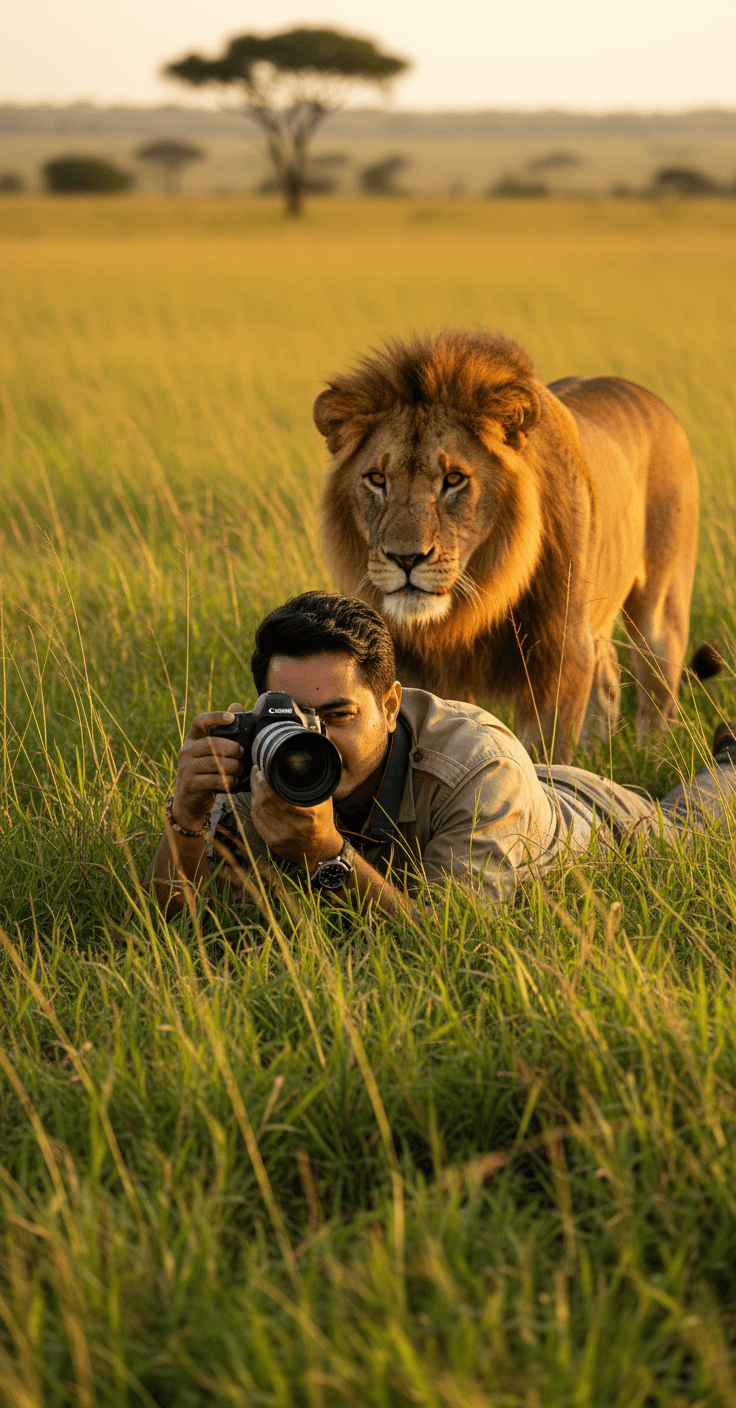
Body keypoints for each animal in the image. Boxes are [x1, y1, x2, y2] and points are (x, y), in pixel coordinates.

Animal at [313, 330, 700, 763]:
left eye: (454, 479)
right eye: (377, 479)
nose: (406, 558)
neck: (473, 605)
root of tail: (655, 402)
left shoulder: (561, 657)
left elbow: (543, 757)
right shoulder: (414, 664)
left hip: (661, 610)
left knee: (658, 689)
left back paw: (655, 757)